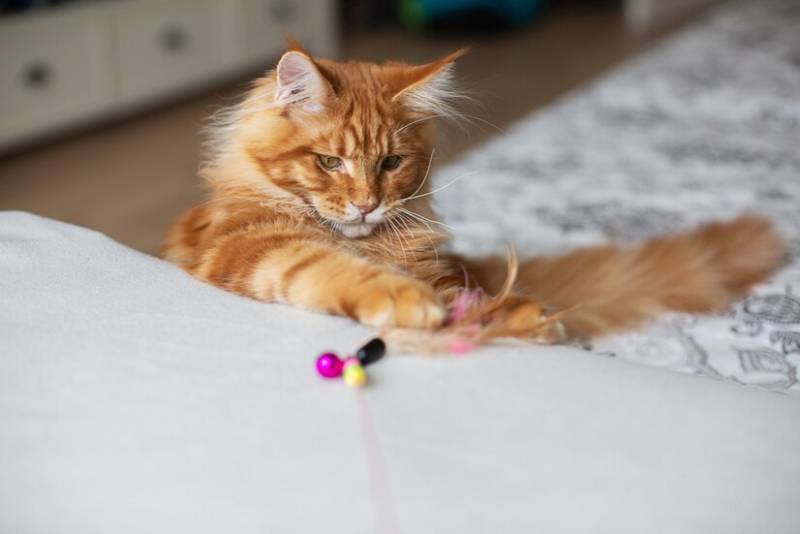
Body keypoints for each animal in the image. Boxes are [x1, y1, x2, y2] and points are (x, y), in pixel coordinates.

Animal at [161, 42, 780, 344]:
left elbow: (472, 299)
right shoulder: (251, 246)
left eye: (390, 163)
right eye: (329, 162)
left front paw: (525, 318)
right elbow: (328, 265)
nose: (366, 204)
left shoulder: (438, 268)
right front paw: (408, 300)